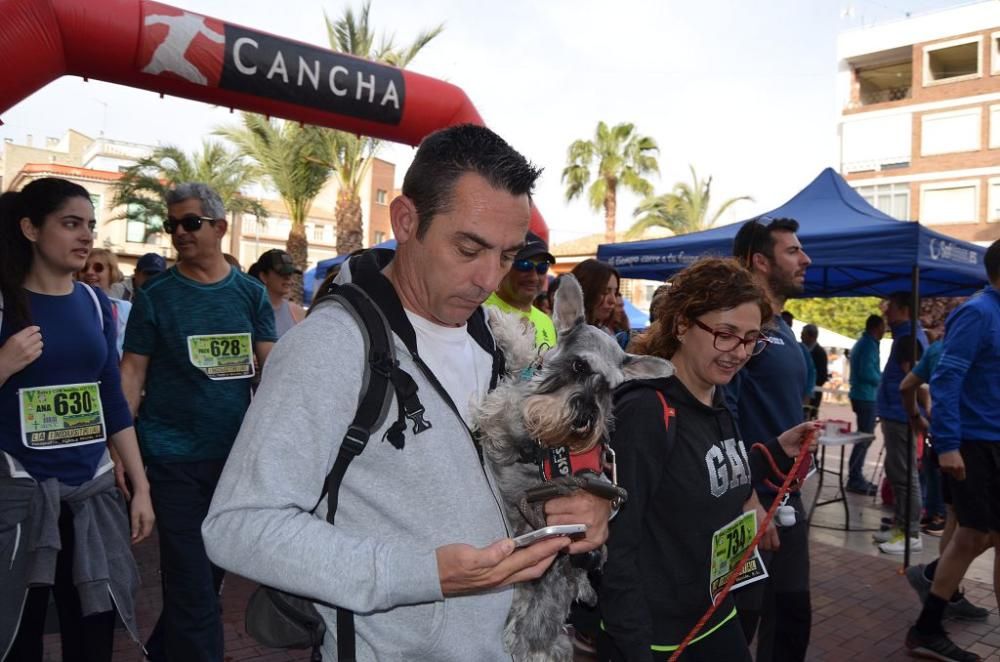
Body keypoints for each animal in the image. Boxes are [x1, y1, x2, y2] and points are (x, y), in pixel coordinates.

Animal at [474, 276, 672, 662]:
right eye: (580, 366)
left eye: (610, 387)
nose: (584, 420)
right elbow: (526, 358)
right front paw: (502, 321)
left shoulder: (511, 425)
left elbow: (505, 403)